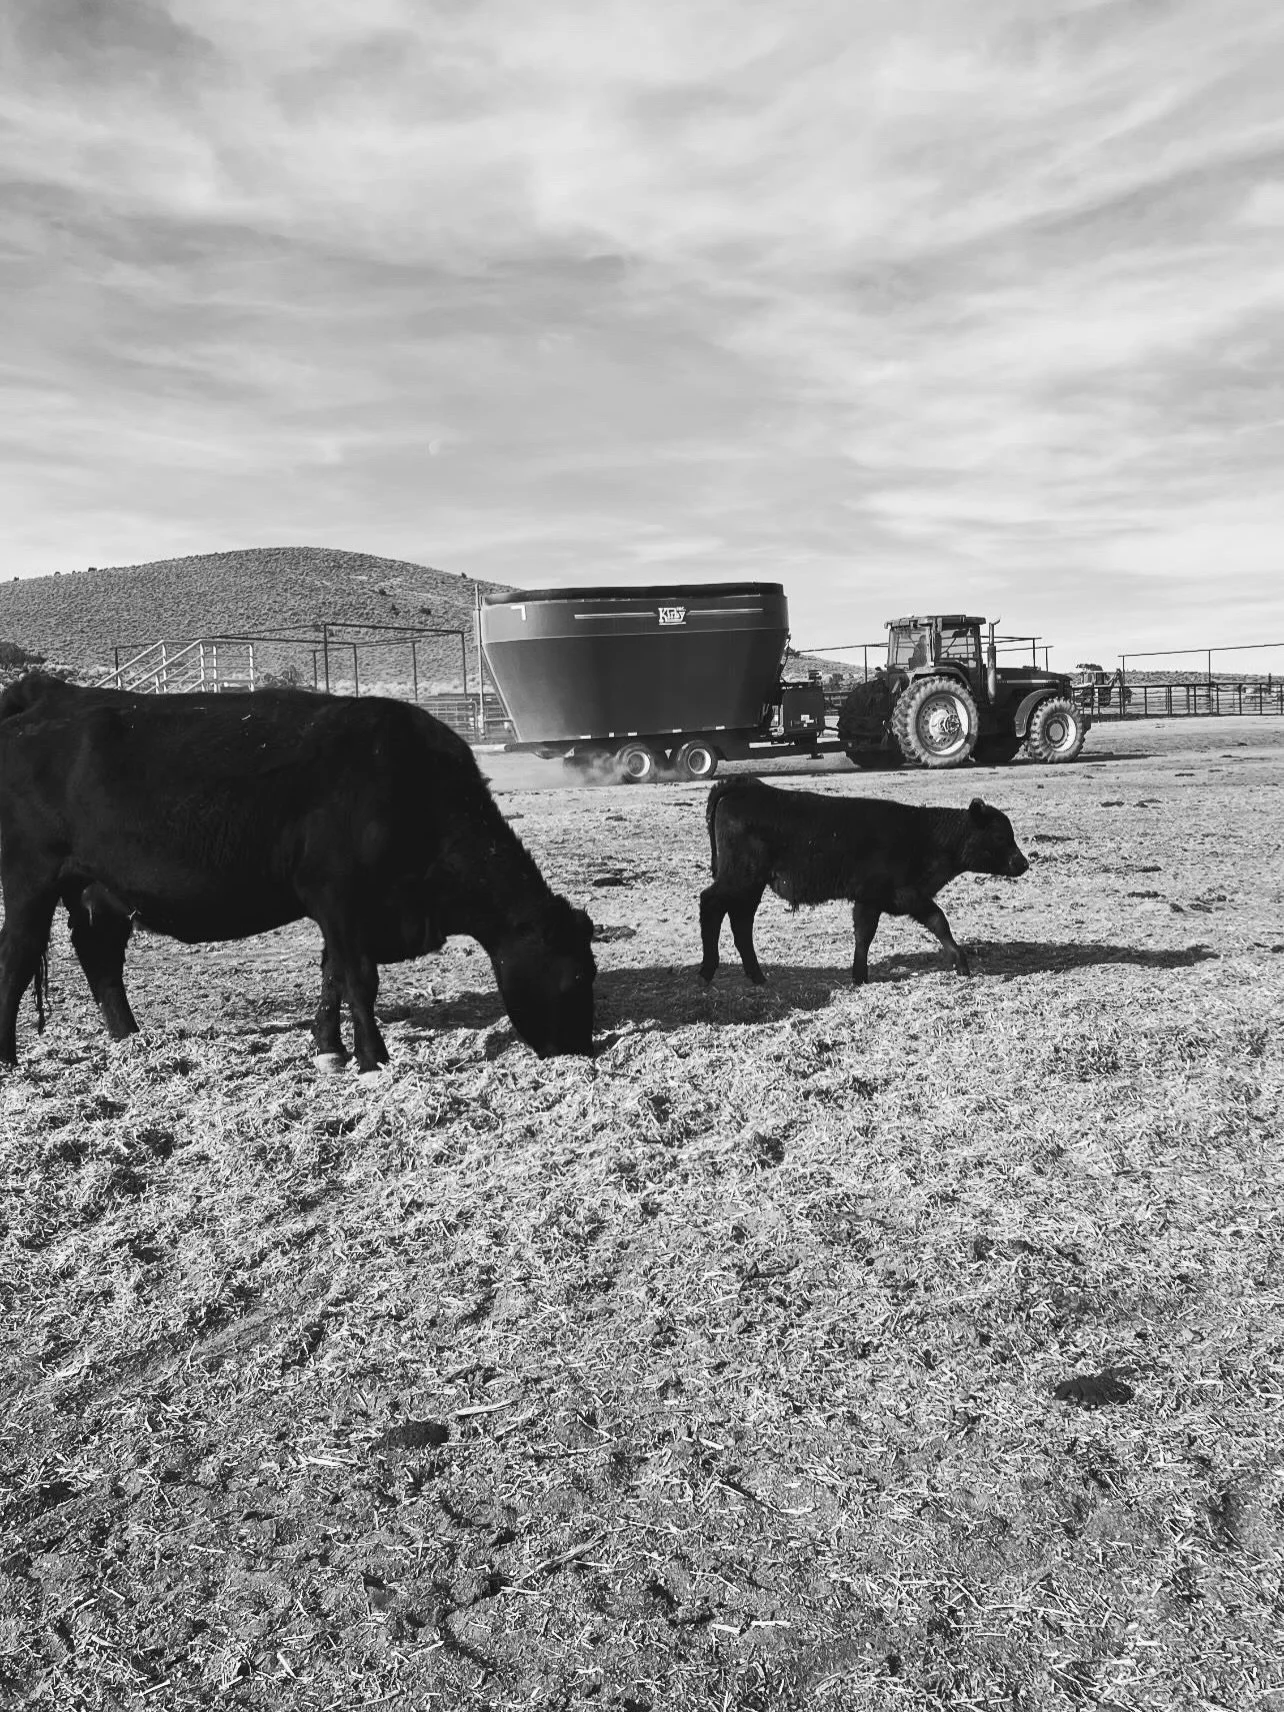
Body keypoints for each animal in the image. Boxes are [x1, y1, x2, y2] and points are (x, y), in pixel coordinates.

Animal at [0, 674, 596, 1069]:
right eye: (576, 975)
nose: (580, 1050)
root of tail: (48, 695)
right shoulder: (337, 894)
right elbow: (359, 977)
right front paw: (373, 1058)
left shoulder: (347, 910)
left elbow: (333, 973)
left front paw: (329, 1046)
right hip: (30, 879)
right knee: (16, 959)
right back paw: (10, 1060)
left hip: (95, 890)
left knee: (100, 960)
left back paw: (131, 1040)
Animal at [699, 777, 1028, 986]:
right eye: (1001, 836)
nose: (1023, 863)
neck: (923, 836)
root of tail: (744, 787)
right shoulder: (893, 894)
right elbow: (932, 922)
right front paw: (961, 964)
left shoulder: (882, 898)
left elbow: (870, 933)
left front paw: (859, 976)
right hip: (739, 877)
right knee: (711, 903)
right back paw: (707, 971)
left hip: (750, 885)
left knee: (741, 922)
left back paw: (757, 976)